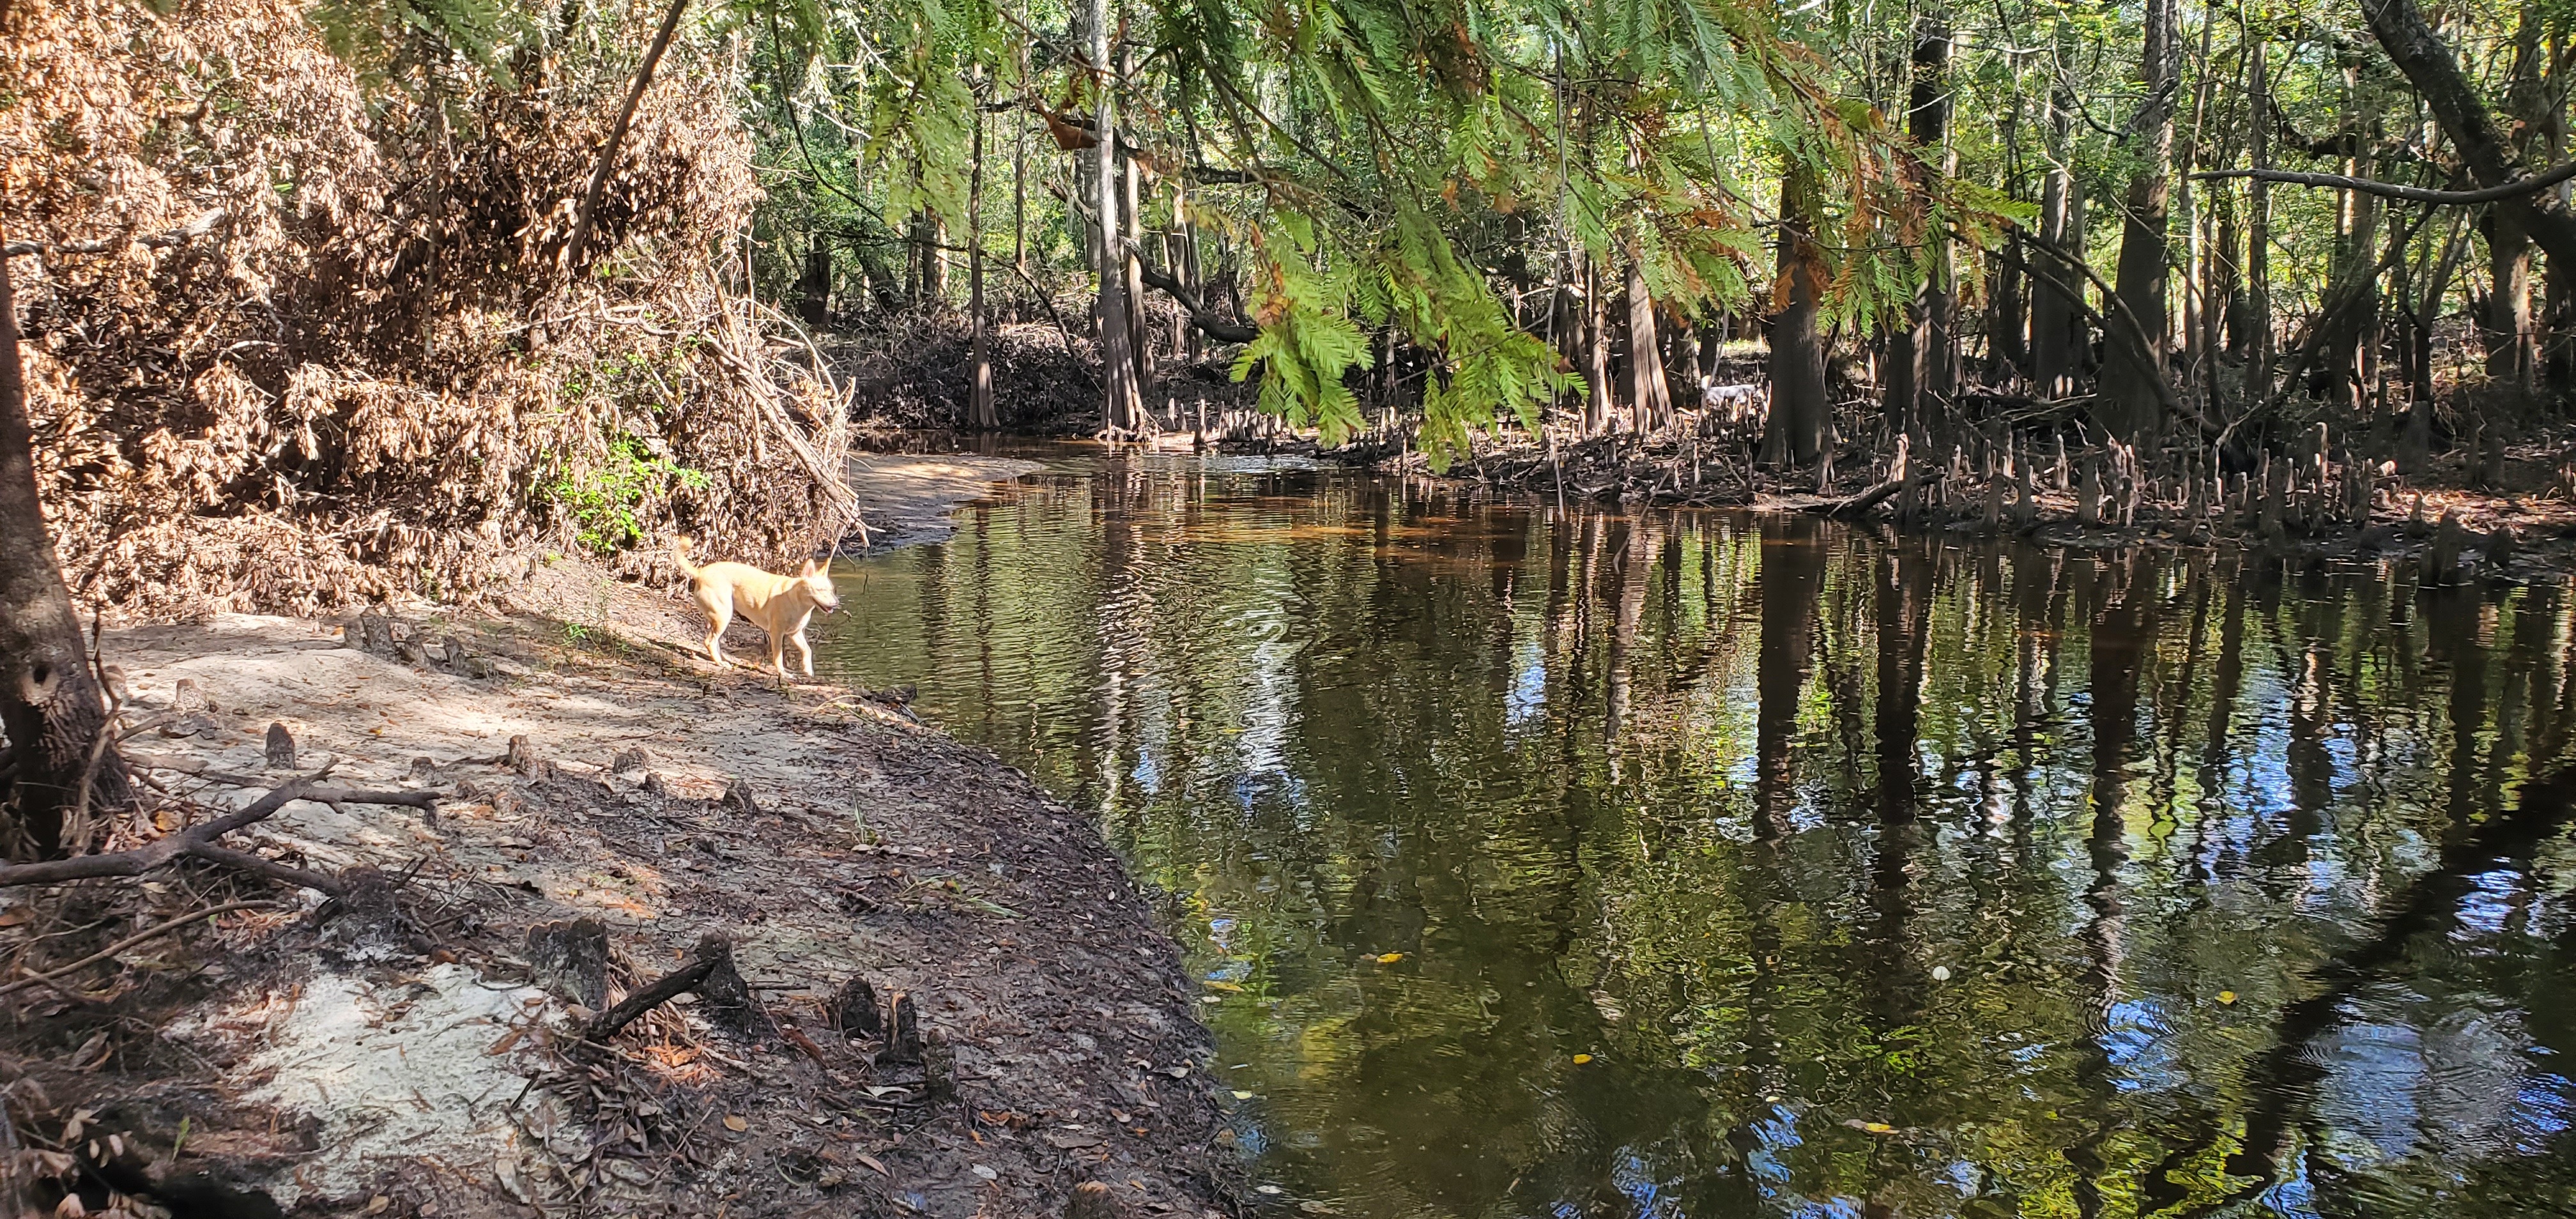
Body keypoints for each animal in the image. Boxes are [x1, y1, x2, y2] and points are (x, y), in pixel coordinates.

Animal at [670, 536, 839, 680]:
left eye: (832, 590)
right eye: (821, 590)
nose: (836, 603)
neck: (798, 600)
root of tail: (700, 573)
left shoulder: (795, 634)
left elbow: (807, 650)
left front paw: (808, 670)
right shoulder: (777, 634)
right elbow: (779, 656)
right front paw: (783, 673)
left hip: (721, 617)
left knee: (714, 641)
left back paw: (722, 659)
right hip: (724, 615)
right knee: (709, 642)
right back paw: (720, 662)